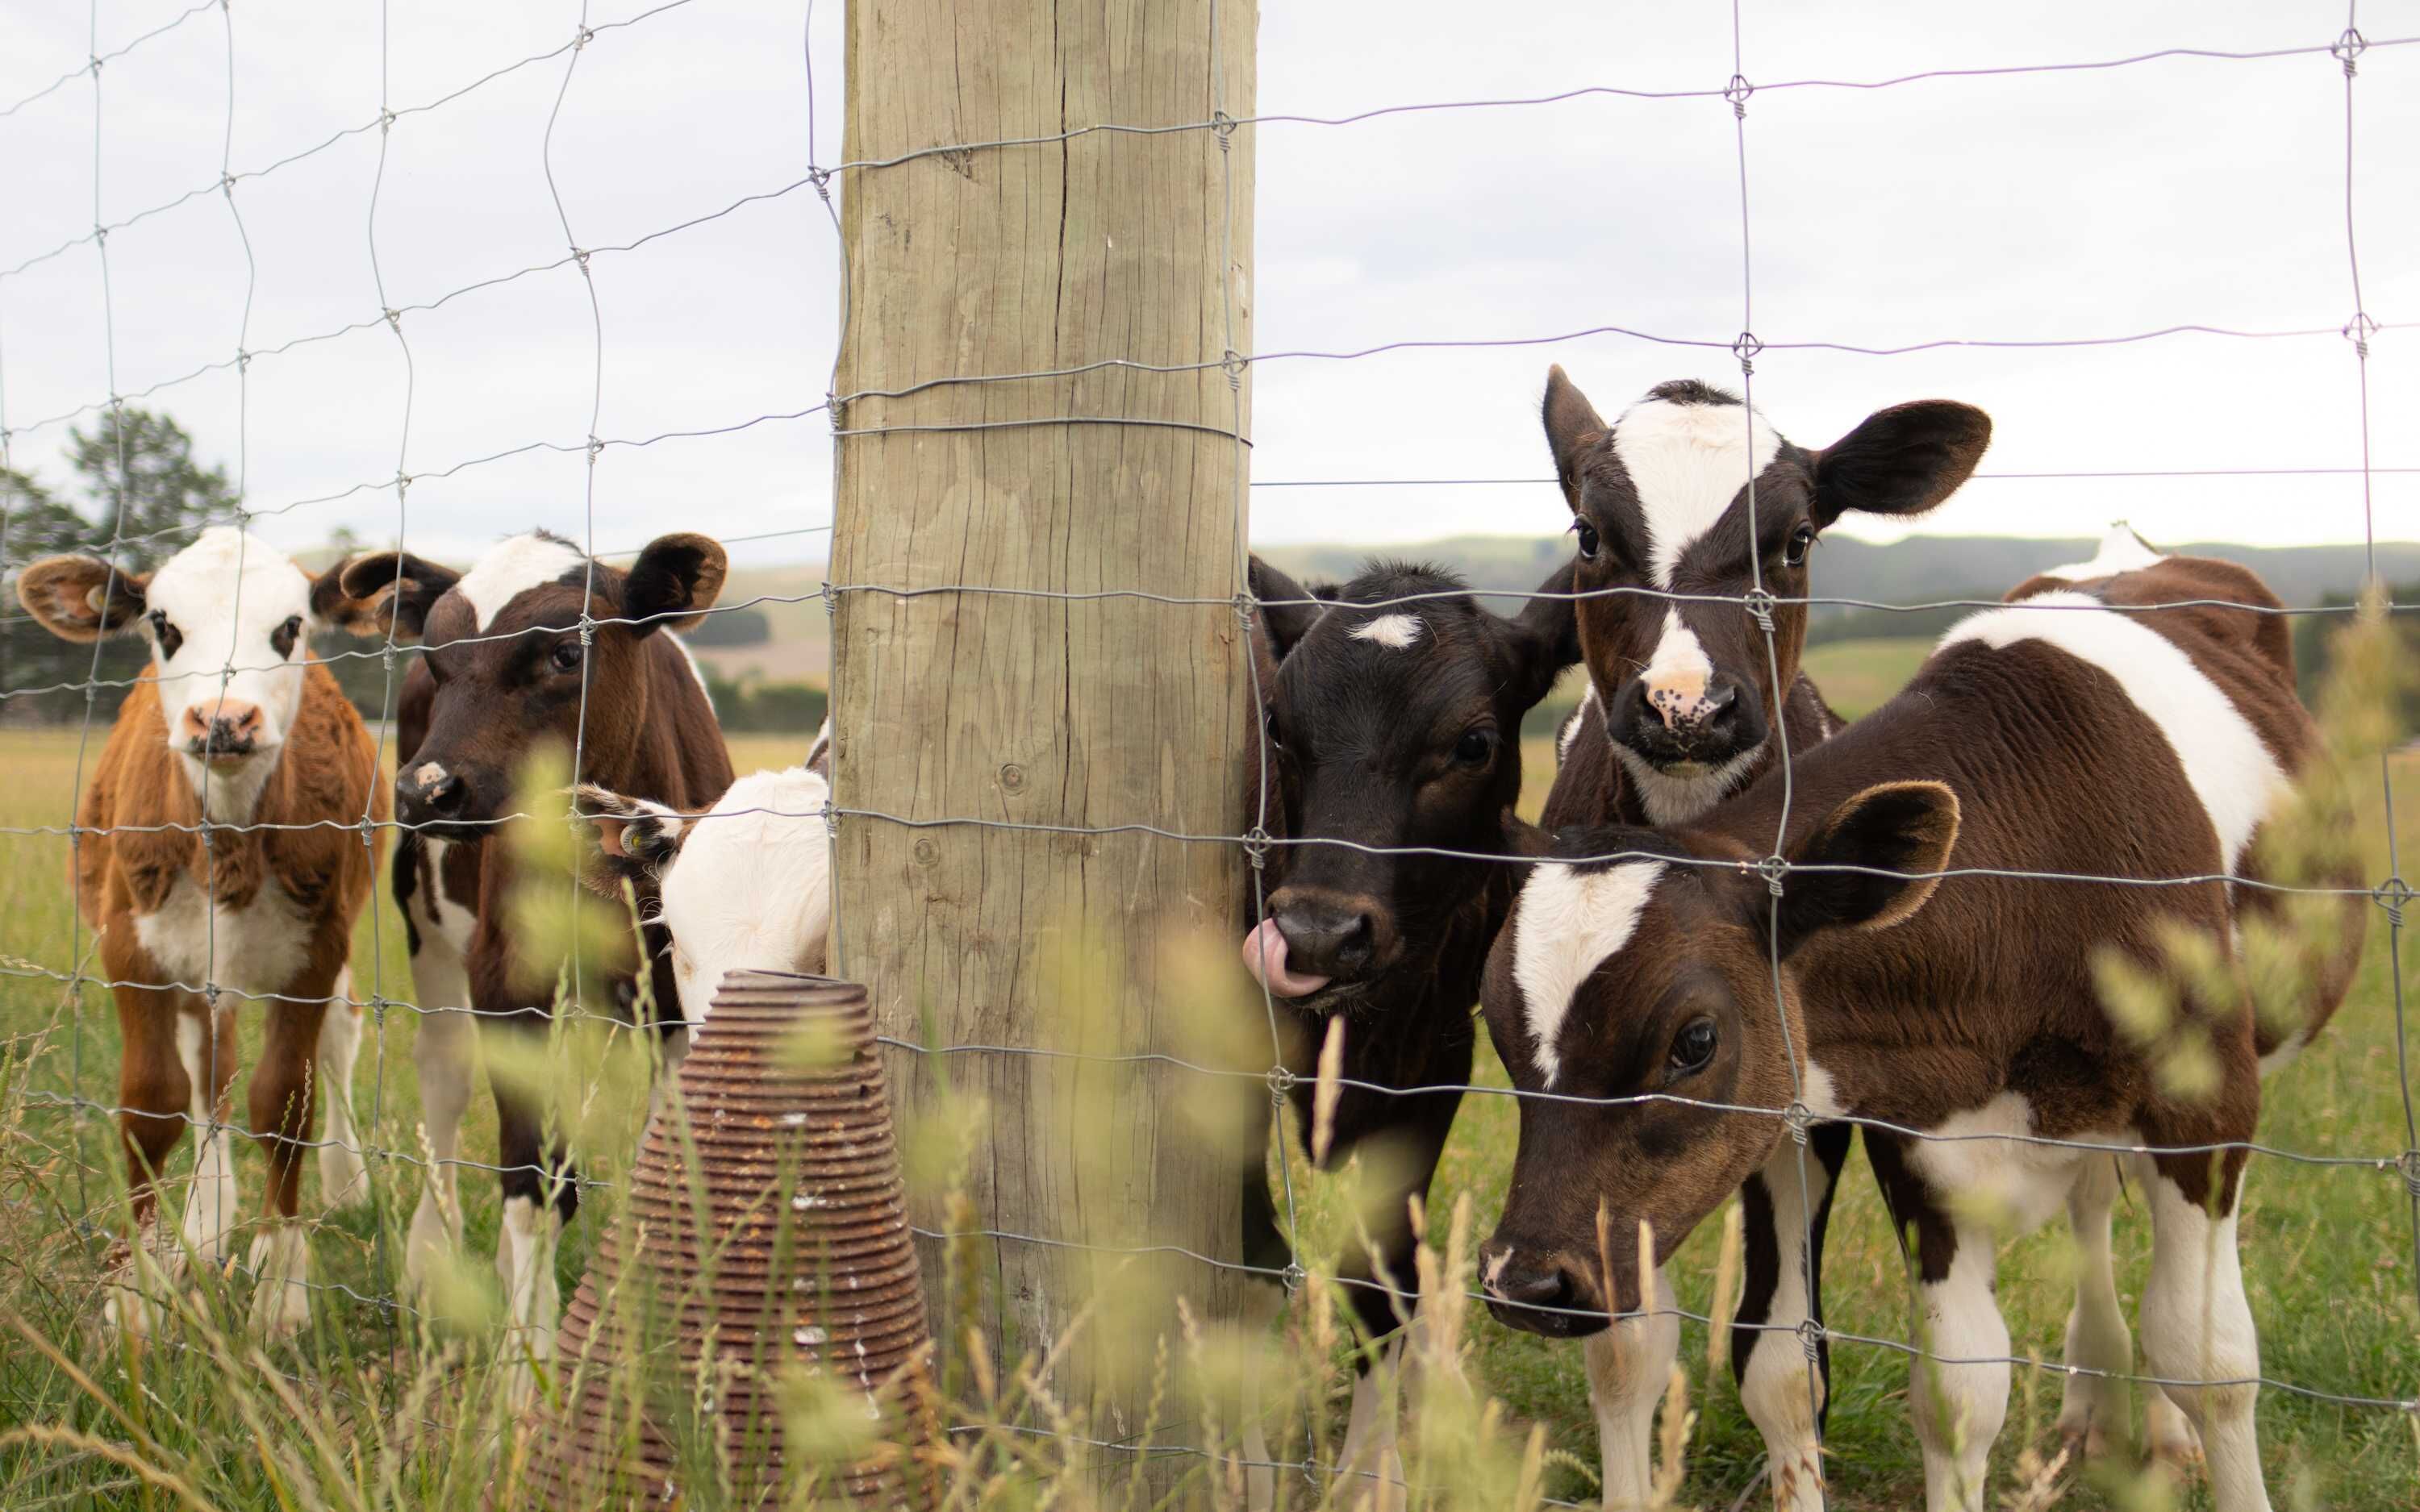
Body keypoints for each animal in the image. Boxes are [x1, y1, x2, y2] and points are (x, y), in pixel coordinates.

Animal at [17, 527, 391, 1338]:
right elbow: (154, 1103)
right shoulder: (132, 948)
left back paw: (343, 1182)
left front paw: (281, 1289)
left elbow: (285, 1104)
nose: (224, 720)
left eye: (290, 627)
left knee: (339, 1042)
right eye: (163, 624)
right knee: (207, 1071)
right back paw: (206, 1219)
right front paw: (137, 1290)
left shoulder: (315, 953)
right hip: (198, 968)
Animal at [333, 529, 734, 1389]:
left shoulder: (675, 1000)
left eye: (564, 654)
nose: (426, 790)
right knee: (445, 1080)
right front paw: (529, 1369)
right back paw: (432, 1256)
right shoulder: (506, 981)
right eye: (435, 655)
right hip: (429, 935)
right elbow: (534, 1181)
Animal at [1236, 555, 1577, 1504]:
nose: (1317, 933)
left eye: (1473, 744)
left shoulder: (1432, 1068)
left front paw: (1368, 1475)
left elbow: (1380, 1279)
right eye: (1278, 728)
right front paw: (1247, 1467)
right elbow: (1252, 1263)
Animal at [1476, 550, 2359, 1512]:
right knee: (2094, 1202)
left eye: (1695, 1041)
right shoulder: (1918, 1142)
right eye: (1495, 1025)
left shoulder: (2209, 1108)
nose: (1526, 1281)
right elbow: (1955, 1390)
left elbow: (2210, 1361)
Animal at [1531, 367, 1991, 1500]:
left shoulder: (1804, 1100)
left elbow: (1784, 1364)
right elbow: (1623, 1340)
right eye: (1591, 535)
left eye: (1795, 541)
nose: (1686, 707)